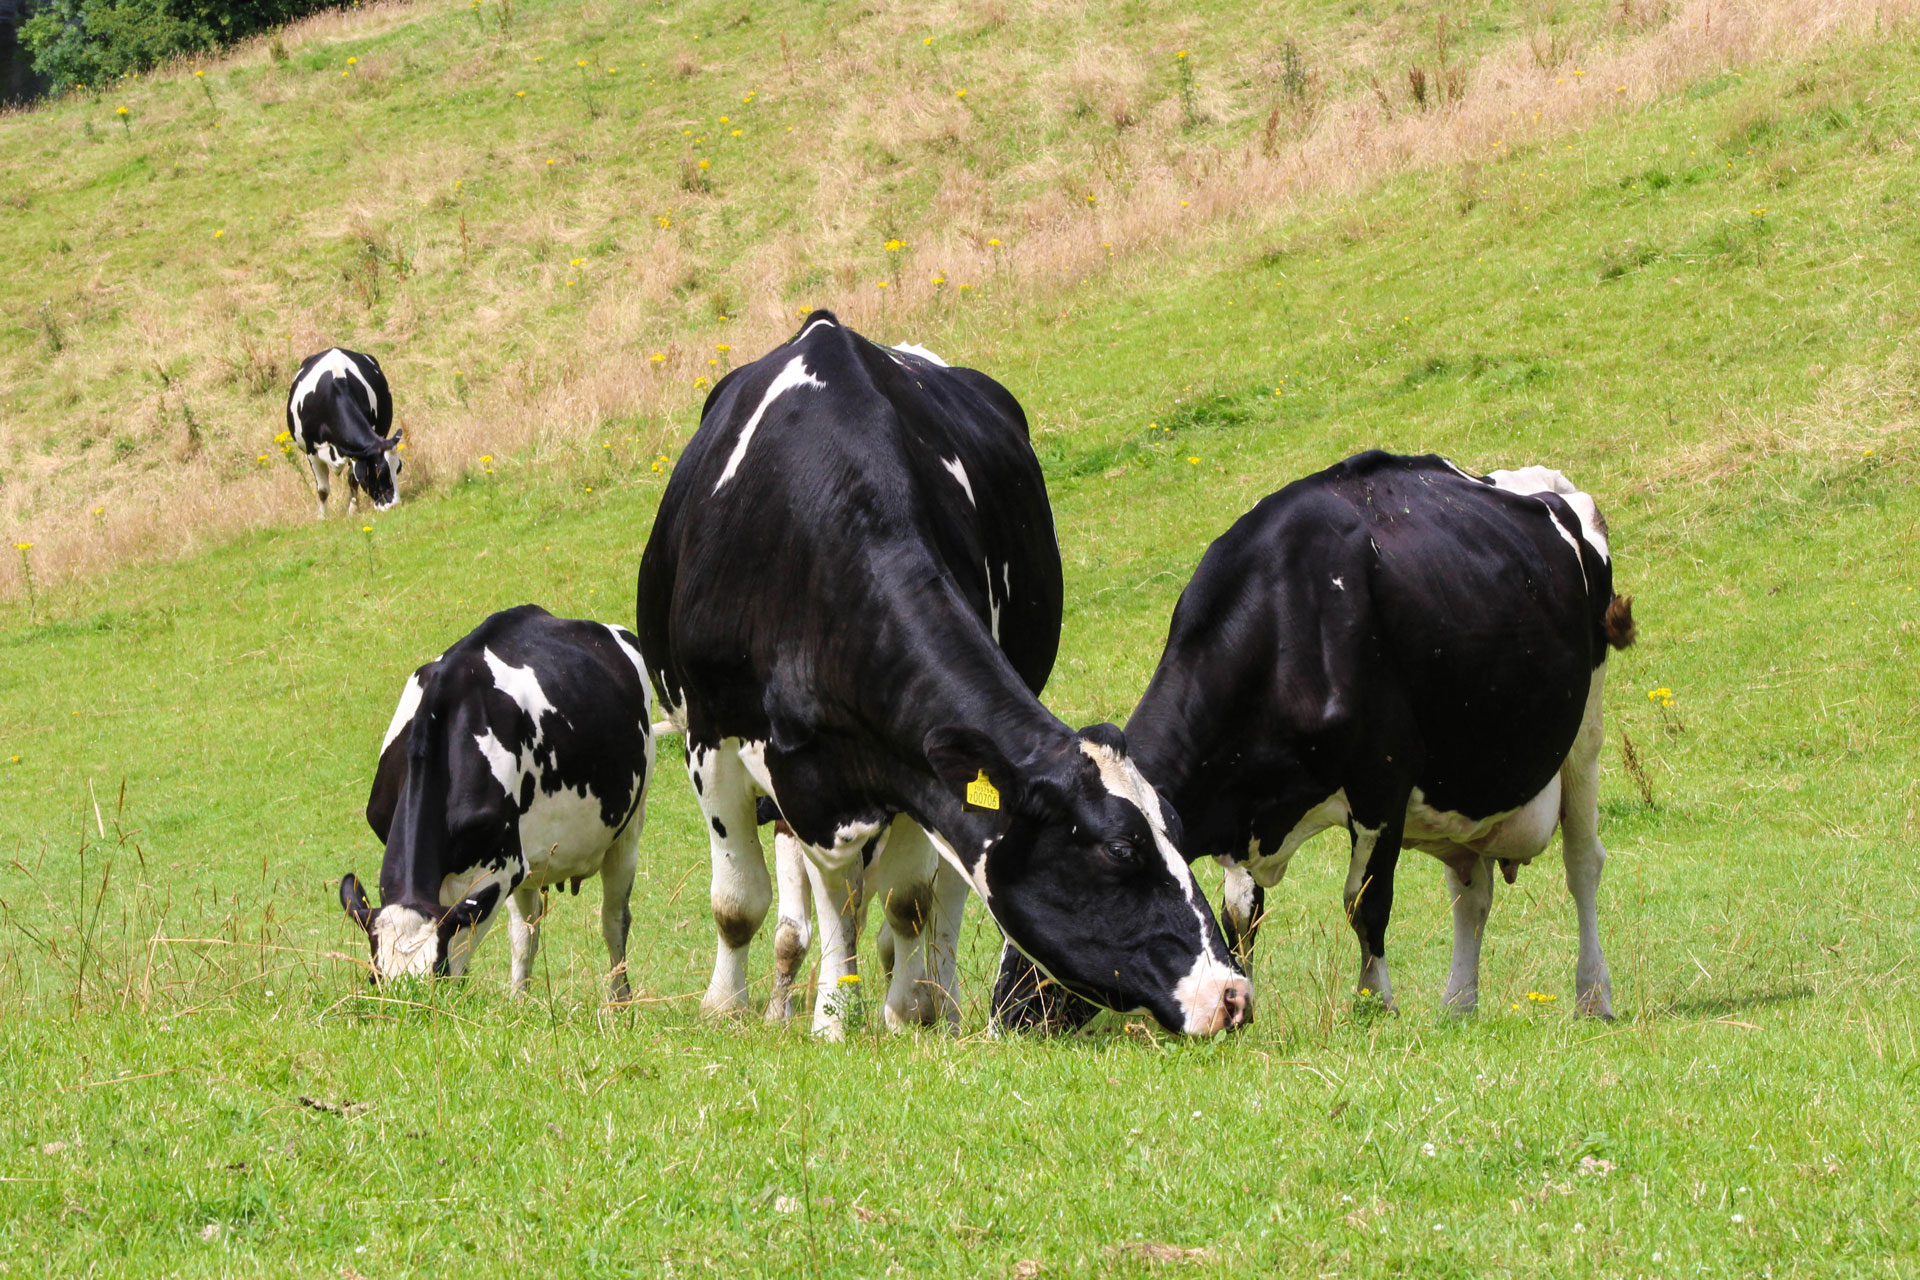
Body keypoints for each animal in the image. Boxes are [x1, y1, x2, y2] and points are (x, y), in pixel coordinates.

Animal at [287, 347, 403, 518]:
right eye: (378, 471)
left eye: (398, 468)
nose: (395, 505)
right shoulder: (311, 451)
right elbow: (322, 490)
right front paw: (322, 517)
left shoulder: (356, 452)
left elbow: (353, 480)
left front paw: (353, 510)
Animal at [338, 605, 655, 997]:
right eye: (374, 977)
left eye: (434, 974)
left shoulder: (498, 869)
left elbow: (462, 956)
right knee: (527, 931)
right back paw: (519, 1000)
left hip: (627, 828)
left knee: (613, 920)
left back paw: (619, 1001)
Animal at [636, 310, 1250, 1038]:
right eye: (1121, 850)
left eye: (1176, 832)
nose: (1230, 994)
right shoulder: (719, 741)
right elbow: (746, 902)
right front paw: (765, 1013)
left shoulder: (913, 763)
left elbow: (906, 902)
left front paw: (902, 1012)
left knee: (942, 893)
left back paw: (937, 999)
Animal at [1087, 451, 1633, 1021]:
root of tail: (1542, 484)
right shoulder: (1243, 806)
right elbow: (1238, 912)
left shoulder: (1383, 781)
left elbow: (1364, 901)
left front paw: (1375, 1000)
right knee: (1471, 891)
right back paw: (1458, 1003)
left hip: (1584, 734)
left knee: (1582, 864)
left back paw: (1593, 995)